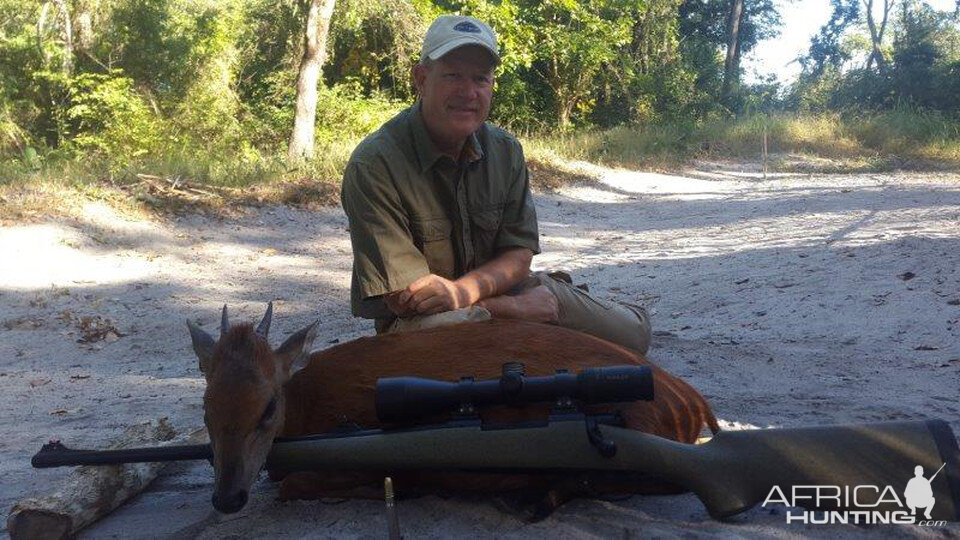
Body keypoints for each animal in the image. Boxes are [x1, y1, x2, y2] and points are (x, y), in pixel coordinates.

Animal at [186, 304, 720, 516]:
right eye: (205, 406)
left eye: (268, 407)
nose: (226, 498)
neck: (307, 408)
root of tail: (694, 403)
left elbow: (293, 484)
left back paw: (530, 497)